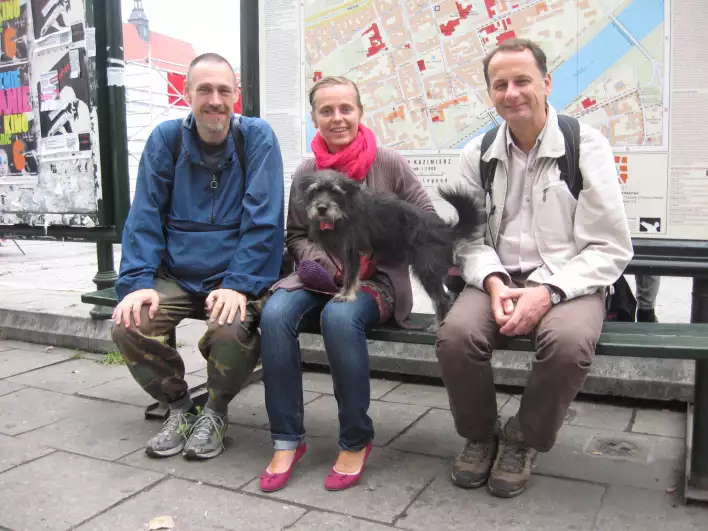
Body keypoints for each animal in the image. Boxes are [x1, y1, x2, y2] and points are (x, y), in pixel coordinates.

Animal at [294, 170, 486, 328]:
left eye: (334, 192)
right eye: (315, 191)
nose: (321, 208)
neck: (344, 211)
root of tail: (444, 229)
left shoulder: (352, 250)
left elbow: (350, 275)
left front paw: (347, 294)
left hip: (427, 271)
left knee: (443, 300)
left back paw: (439, 326)